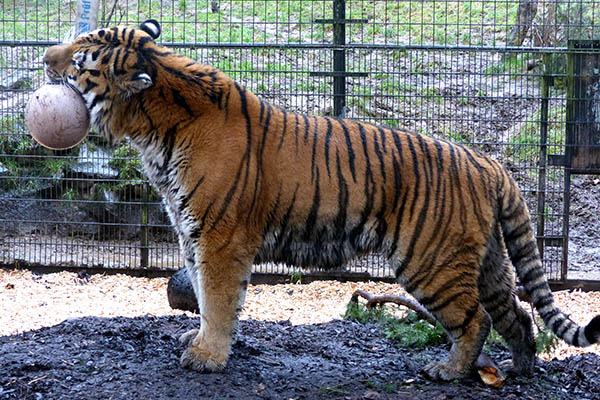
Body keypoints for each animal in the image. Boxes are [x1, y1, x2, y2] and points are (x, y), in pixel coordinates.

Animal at [43, 19, 600, 382]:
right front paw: (199, 342)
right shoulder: (191, 230)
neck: (151, 125)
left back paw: (448, 370)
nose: (44, 57)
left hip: (430, 260)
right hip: (487, 260)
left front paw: (207, 357)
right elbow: (202, 294)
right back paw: (521, 369)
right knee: (519, 315)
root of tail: (486, 163)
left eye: (80, 58)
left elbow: (218, 300)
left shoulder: (219, 237)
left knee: (477, 318)